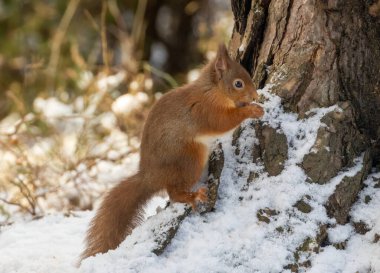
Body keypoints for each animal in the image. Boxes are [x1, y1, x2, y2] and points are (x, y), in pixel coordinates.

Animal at [80, 44, 264, 260]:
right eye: (238, 84)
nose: (255, 96)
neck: (212, 91)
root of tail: (151, 177)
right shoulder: (205, 111)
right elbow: (223, 122)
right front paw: (252, 110)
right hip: (190, 158)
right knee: (173, 193)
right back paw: (192, 196)